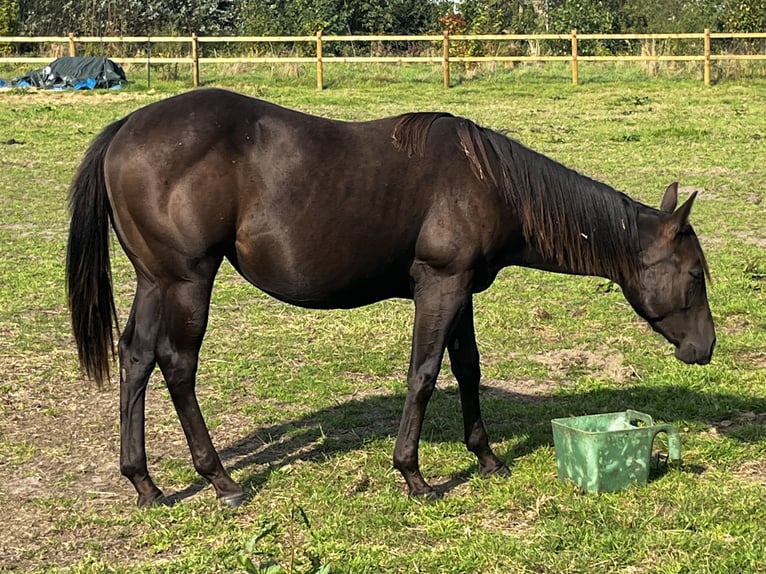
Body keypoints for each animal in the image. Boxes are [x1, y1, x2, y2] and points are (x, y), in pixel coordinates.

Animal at [69, 86, 716, 508]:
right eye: (695, 273)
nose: (705, 349)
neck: (488, 182)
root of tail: (126, 128)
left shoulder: (462, 289)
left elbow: (468, 368)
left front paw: (487, 458)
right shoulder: (439, 285)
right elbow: (424, 373)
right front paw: (414, 476)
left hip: (155, 281)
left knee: (136, 357)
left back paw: (144, 484)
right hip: (187, 281)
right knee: (177, 364)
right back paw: (220, 480)